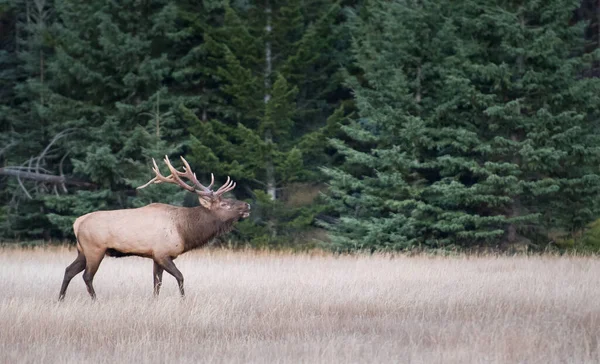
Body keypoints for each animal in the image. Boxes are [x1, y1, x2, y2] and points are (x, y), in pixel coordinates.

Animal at [57, 155, 250, 300]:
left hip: (82, 251)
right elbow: (180, 276)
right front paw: (183, 300)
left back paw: (60, 299)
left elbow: (157, 283)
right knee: (87, 276)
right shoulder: (162, 253)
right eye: (225, 204)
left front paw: (154, 301)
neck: (184, 230)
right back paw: (95, 300)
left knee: (68, 270)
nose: (247, 205)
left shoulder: (155, 256)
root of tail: (77, 222)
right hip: (94, 249)